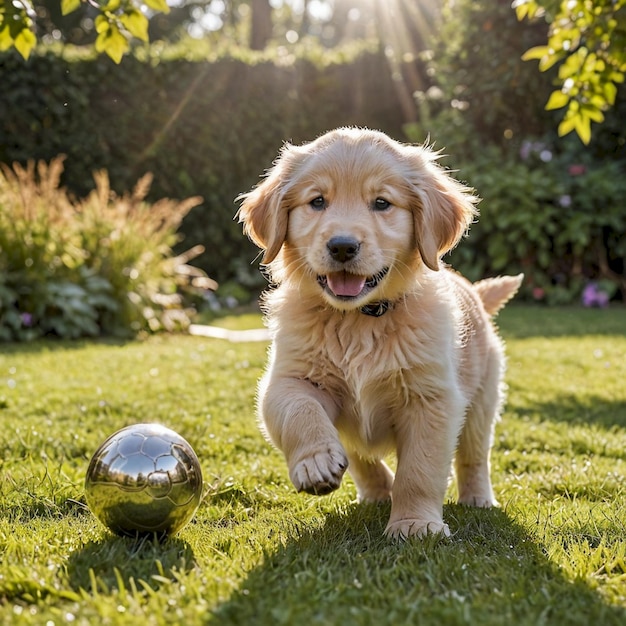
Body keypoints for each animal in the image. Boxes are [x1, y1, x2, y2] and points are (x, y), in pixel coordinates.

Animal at [236, 125, 520, 536]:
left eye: (382, 203)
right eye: (317, 201)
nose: (342, 246)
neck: (357, 319)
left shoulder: (432, 398)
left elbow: (420, 469)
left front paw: (415, 523)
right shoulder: (289, 377)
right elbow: (299, 410)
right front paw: (315, 461)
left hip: (483, 399)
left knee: (473, 455)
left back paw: (477, 497)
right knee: (359, 454)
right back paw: (373, 489)